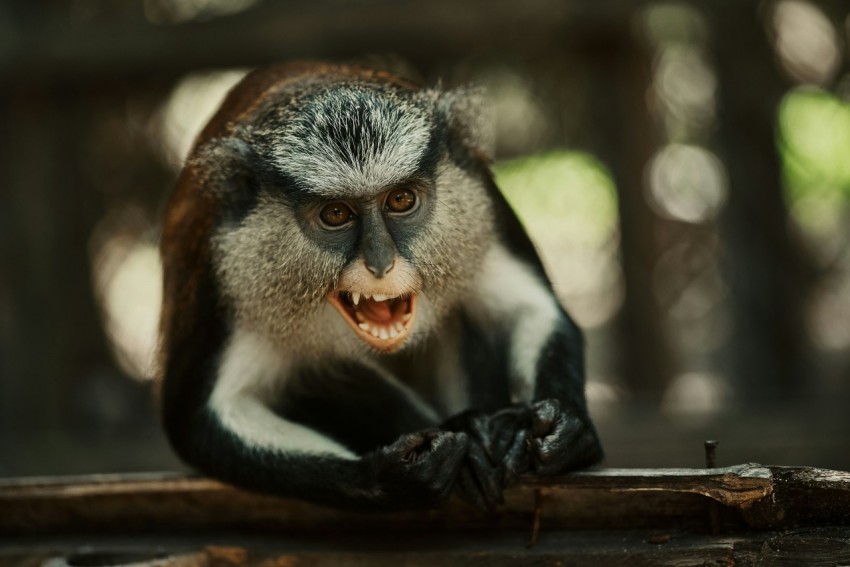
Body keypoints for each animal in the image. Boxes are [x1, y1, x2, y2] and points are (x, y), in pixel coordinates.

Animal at [156, 60, 600, 512]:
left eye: (401, 200)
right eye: (335, 213)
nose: (380, 263)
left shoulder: (480, 198)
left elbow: (531, 308)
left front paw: (565, 428)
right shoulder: (218, 270)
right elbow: (204, 420)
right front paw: (392, 477)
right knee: (325, 370)